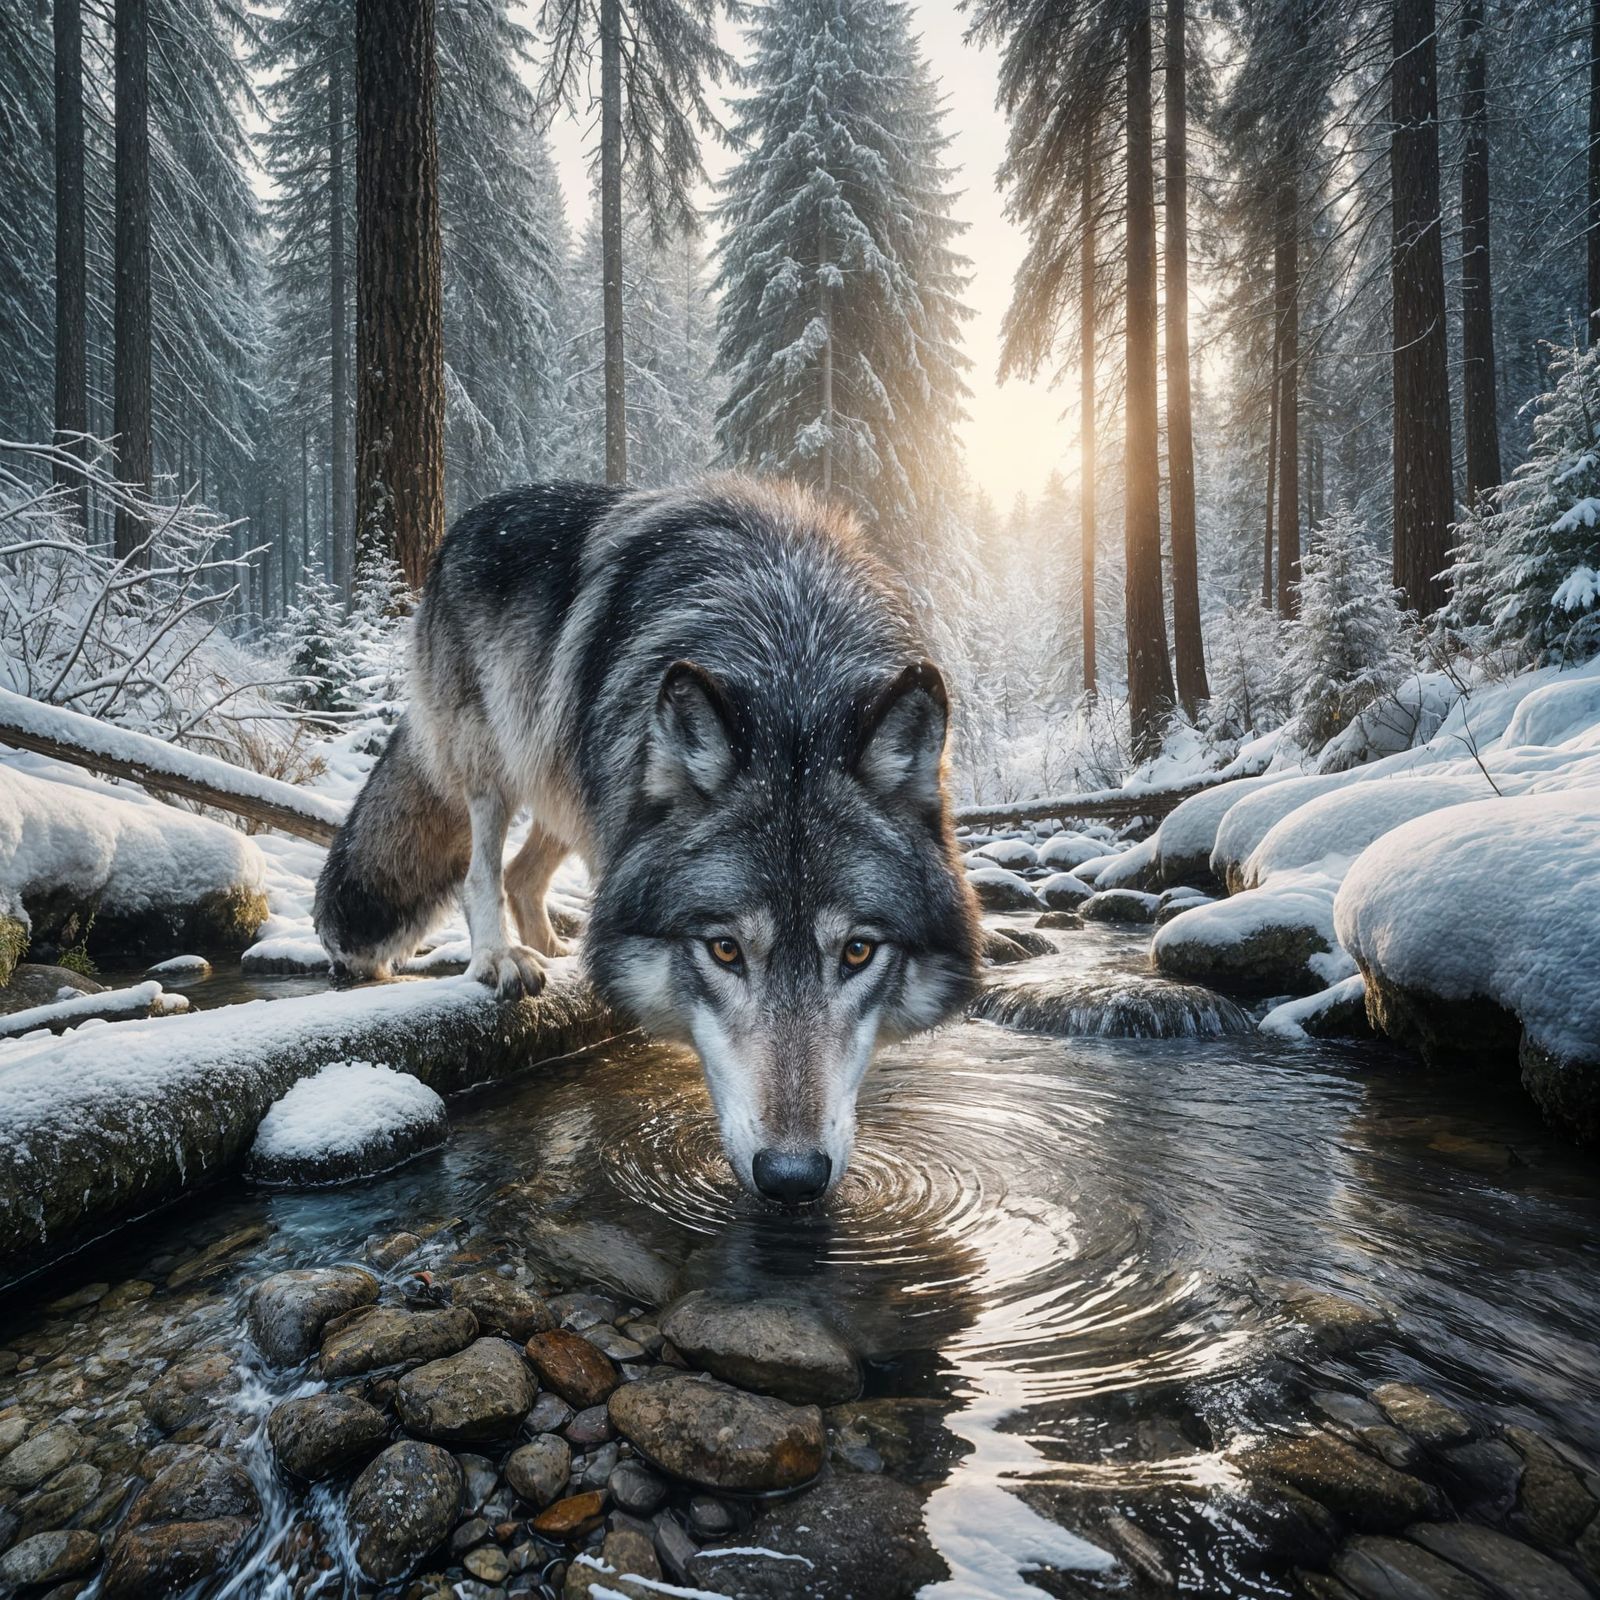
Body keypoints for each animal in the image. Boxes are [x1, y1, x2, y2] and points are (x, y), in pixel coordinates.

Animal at [314, 476, 980, 1202]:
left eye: (858, 952)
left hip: (576, 789)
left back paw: (559, 953)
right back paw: (503, 956)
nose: (791, 1179)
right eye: (724, 950)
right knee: (482, 871)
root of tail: (464, 525)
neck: (789, 649)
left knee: (526, 874)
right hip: (498, 766)